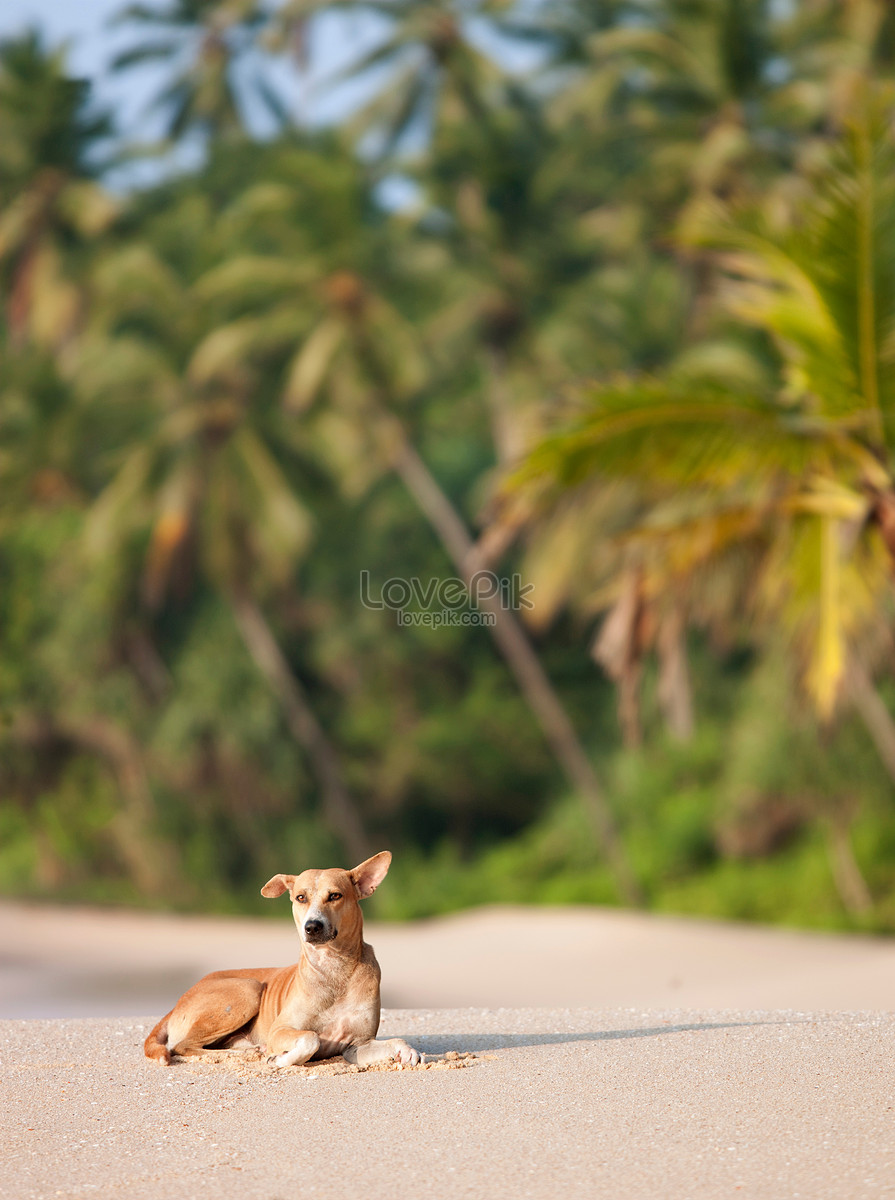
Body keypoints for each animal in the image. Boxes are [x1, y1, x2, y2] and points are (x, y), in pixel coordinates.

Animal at [142, 854, 417, 1070]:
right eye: (301, 897)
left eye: (335, 896)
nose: (312, 927)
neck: (333, 967)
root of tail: (178, 1002)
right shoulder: (281, 1030)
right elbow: (310, 1038)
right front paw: (281, 1059)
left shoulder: (358, 1045)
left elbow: (397, 1042)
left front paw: (409, 1052)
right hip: (248, 989)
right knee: (182, 1045)